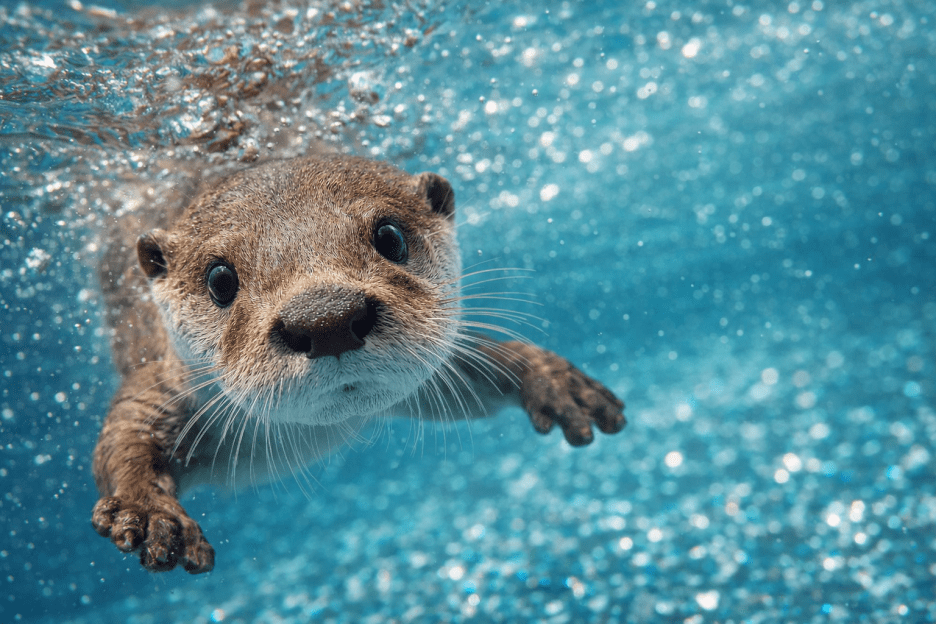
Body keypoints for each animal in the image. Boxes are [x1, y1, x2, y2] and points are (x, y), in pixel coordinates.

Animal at [91, 155, 625, 574]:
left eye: (390, 236)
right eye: (219, 279)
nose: (326, 318)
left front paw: (553, 381)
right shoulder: (166, 384)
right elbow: (125, 436)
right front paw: (148, 510)